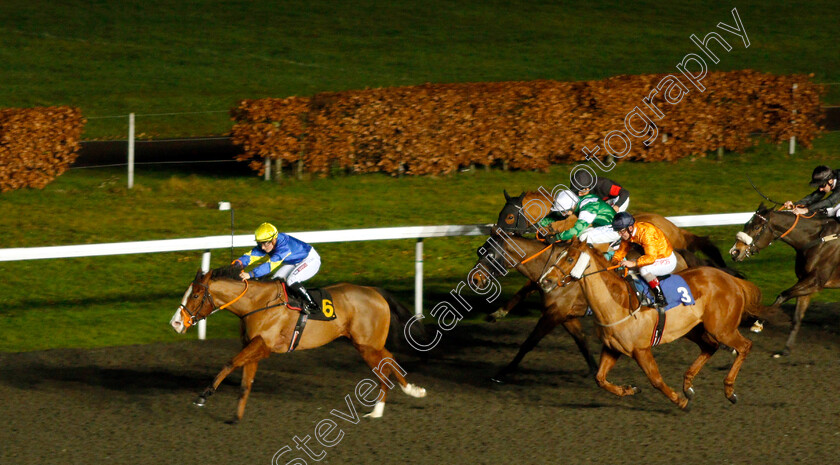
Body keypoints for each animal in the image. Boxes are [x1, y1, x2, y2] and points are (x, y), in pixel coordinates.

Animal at [171, 264, 426, 420]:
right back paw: (413, 391)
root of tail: (374, 291)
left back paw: (377, 411)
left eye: (195, 295)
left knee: (384, 368)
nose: (175, 323)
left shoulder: (263, 345)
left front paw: (204, 394)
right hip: (367, 343)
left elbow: (230, 363)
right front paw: (236, 414)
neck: (257, 303)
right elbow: (246, 379)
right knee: (390, 358)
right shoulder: (252, 345)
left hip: (367, 345)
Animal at [552, 237, 780, 408]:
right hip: (693, 329)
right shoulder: (612, 347)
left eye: (570, 258)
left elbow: (655, 379)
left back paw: (729, 390)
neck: (618, 301)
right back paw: (688, 385)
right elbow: (600, 379)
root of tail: (732, 280)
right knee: (710, 346)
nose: (548, 280)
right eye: (558, 255)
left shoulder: (641, 349)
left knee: (744, 346)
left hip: (722, 328)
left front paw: (679, 401)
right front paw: (628, 389)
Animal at [728, 203, 840, 356]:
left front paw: (758, 323)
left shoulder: (815, 281)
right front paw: (786, 349)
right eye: (746, 224)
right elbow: (797, 317)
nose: (735, 252)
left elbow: (782, 295)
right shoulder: (806, 282)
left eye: (756, 227)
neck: (817, 240)